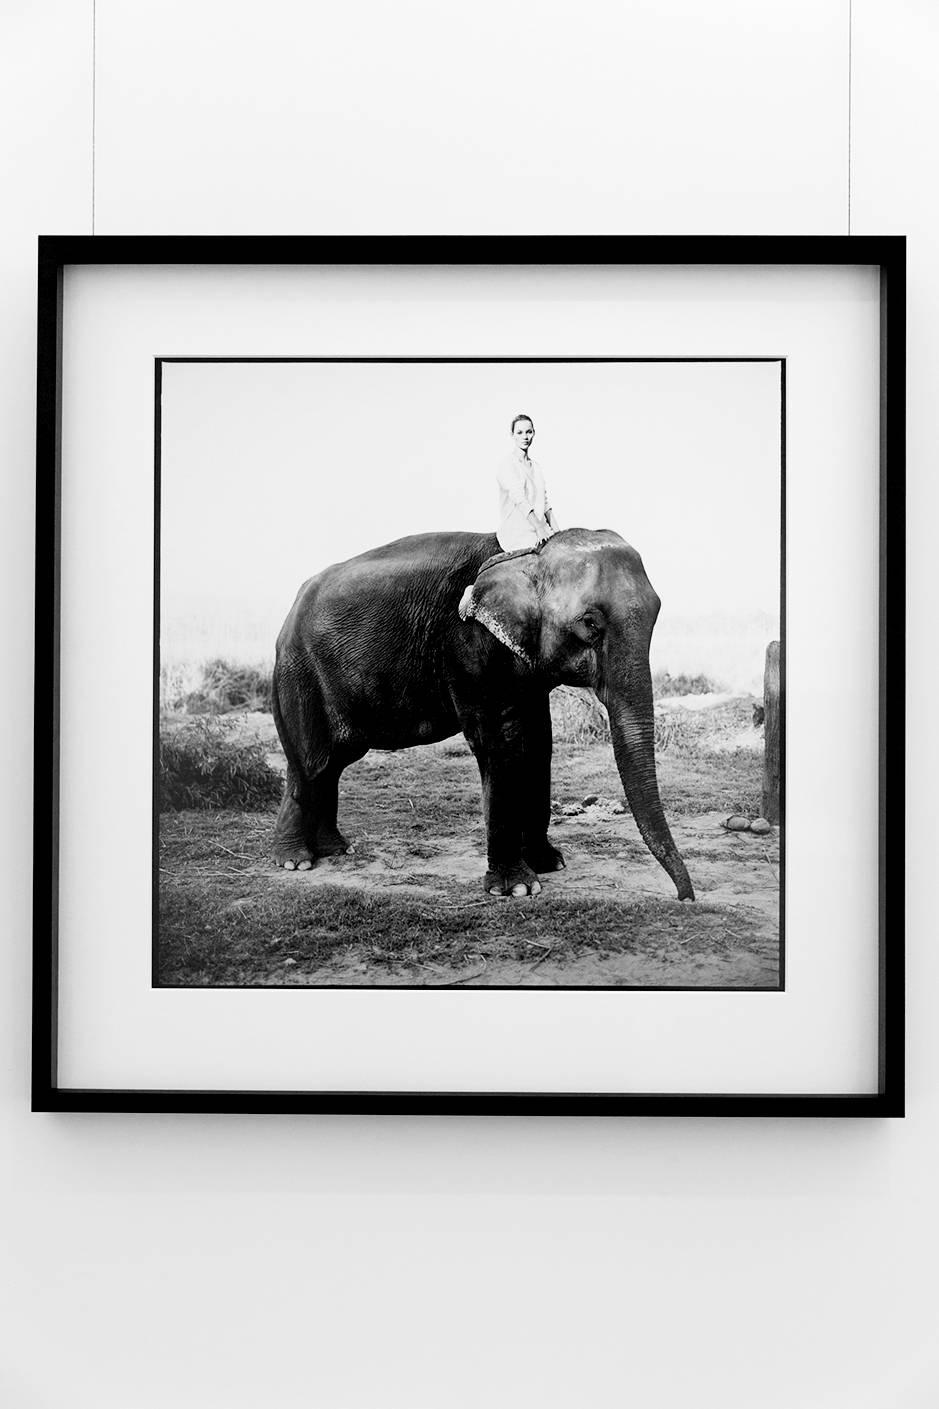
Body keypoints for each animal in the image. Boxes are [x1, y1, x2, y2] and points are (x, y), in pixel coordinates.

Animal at [266, 529, 690, 901]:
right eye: (590, 624)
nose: (685, 897)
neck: (529, 552)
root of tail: (289, 614)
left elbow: (539, 742)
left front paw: (550, 864)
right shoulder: (469, 647)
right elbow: (500, 745)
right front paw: (517, 889)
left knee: (333, 763)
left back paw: (336, 850)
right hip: (299, 673)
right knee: (312, 763)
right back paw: (295, 861)